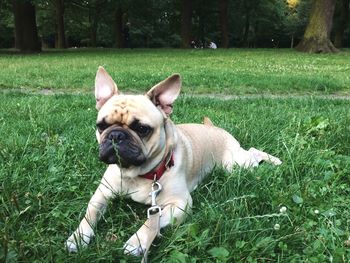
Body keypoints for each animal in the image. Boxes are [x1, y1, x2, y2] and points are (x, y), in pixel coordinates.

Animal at [66, 67, 282, 258]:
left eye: (142, 129)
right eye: (101, 126)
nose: (116, 135)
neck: (136, 174)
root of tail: (216, 128)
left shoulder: (180, 204)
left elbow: (152, 221)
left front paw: (138, 242)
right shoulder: (101, 194)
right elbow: (89, 214)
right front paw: (78, 237)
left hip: (235, 165)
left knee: (252, 152)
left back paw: (275, 160)